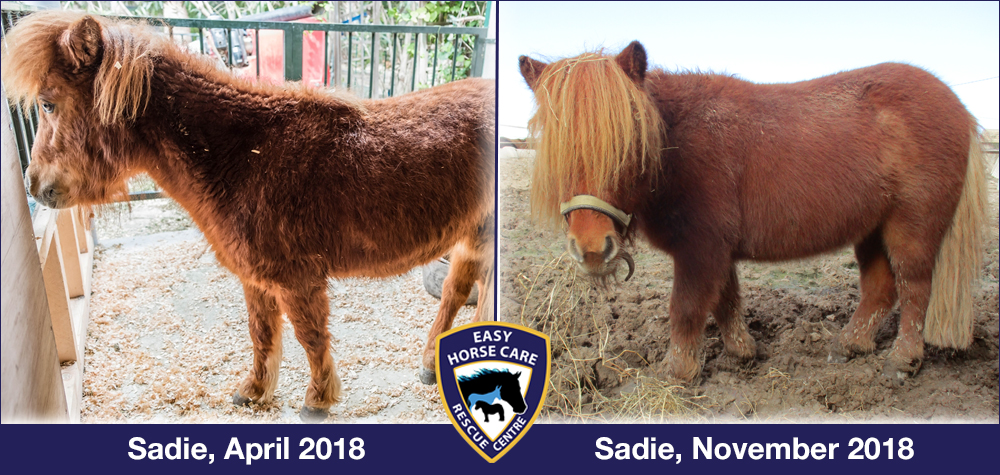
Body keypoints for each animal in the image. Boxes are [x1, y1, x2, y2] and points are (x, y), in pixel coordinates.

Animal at [2, 11, 495, 421]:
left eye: (48, 103)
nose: (34, 184)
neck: (246, 154)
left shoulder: (298, 281)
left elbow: (310, 339)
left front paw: (317, 400)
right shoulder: (255, 277)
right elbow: (262, 334)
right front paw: (255, 391)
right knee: (458, 291)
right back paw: (434, 363)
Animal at [518, 41, 987, 384]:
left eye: (627, 146)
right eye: (555, 155)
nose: (592, 250)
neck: (677, 142)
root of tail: (957, 106)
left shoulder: (701, 249)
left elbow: (686, 307)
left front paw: (678, 373)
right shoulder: (716, 250)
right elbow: (726, 301)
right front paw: (741, 353)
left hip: (912, 227)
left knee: (914, 286)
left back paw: (903, 360)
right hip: (872, 228)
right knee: (880, 287)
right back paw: (850, 345)